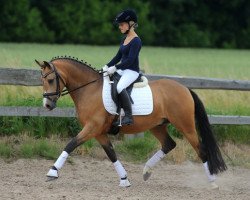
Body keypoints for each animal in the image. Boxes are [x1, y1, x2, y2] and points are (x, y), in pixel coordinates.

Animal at [35, 57, 227, 188]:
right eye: (42, 80)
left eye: (50, 80)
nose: (47, 105)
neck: (89, 89)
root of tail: (185, 88)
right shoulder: (99, 132)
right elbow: (111, 154)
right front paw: (124, 180)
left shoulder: (92, 128)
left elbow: (70, 144)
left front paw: (52, 172)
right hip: (157, 126)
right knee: (169, 144)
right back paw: (146, 171)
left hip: (185, 126)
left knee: (201, 150)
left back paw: (212, 182)